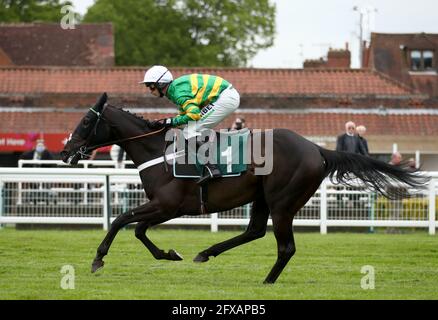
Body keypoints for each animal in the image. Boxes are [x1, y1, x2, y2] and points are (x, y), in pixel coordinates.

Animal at [60, 94, 430, 284]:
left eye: (86, 122)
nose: (65, 152)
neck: (159, 151)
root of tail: (316, 149)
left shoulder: (167, 206)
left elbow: (122, 220)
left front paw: (98, 259)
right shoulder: (165, 209)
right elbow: (138, 230)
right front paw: (170, 253)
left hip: (283, 201)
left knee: (285, 246)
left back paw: (267, 281)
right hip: (263, 196)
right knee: (254, 232)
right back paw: (207, 252)